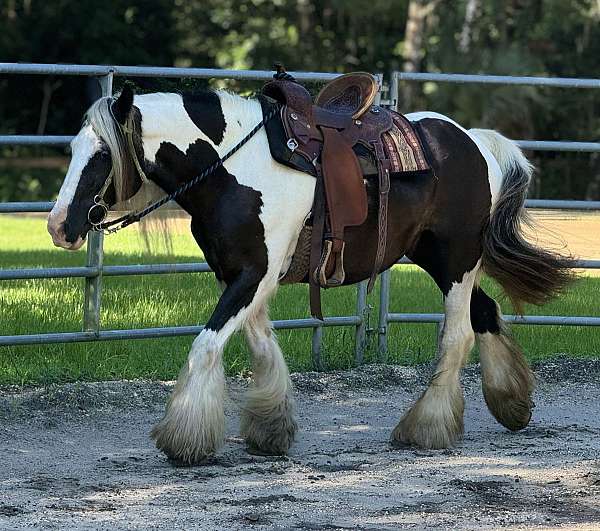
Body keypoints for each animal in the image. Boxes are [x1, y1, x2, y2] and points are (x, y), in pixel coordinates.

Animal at [47, 83, 572, 466]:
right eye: (73, 149)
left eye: (102, 156)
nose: (58, 226)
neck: (234, 168)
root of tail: (475, 141)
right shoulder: (239, 274)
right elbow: (261, 344)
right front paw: (270, 429)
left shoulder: (254, 275)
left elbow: (206, 346)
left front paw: (184, 439)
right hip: (441, 261)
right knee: (484, 313)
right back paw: (511, 402)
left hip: (456, 261)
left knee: (457, 335)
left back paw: (427, 428)